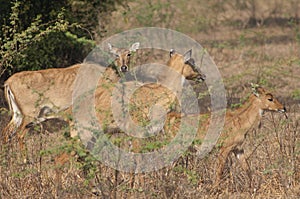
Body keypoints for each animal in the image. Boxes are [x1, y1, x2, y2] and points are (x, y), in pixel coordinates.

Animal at [1, 42, 140, 145]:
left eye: (129, 54)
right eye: (116, 55)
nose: (124, 67)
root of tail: (8, 82)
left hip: (18, 114)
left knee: (6, 133)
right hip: (30, 114)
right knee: (19, 135)